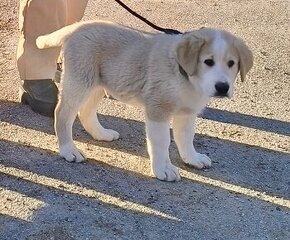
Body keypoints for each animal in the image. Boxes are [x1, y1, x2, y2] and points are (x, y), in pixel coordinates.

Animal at [36, 20, 254, 181]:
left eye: (231, 63)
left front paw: (192, 158)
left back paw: (101, 134)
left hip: (98, 84)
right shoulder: (158, 110)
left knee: (86, 111)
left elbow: (186, 138)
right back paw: (68, 150)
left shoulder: (187, 114)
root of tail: (77, 27)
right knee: (62, 114)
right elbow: (161, 143)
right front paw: (163, 169)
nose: (222, 87)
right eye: (208, 62)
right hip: (80, 81)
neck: (183, 74)